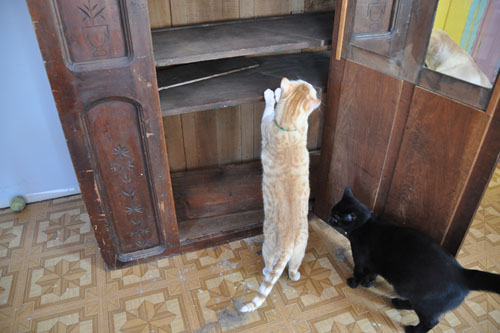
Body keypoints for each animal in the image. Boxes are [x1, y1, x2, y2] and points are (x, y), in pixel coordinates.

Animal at [239, 77, 320, 312]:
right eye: (304, 82)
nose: (316, 88)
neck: (289, 128)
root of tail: (287, 243)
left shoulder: (266, 123)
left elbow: (268, 109)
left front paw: (271, 94)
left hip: (268, 247)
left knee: (269, 267)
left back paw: (266, 270)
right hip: (300, 251)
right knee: (291, 271)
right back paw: (296, 274)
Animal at [328, 187, 500, 332]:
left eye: (336, 218)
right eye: (331, 211)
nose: (329, 218)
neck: (366, 223)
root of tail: (462, 273)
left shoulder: (361, 260)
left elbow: (358, 272)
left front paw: (353, 283)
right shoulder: (373, 265)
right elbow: (372, 274)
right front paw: (368, 283)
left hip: (424, 302)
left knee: (431, 322)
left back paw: (412, 330)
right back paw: (398, 303)